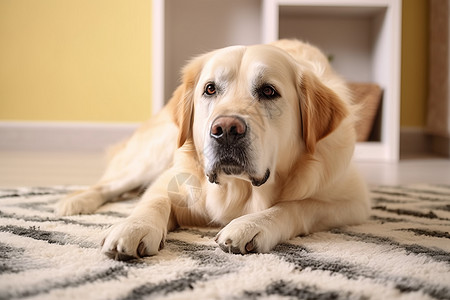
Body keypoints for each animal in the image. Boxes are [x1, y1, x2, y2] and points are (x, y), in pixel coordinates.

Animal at [55, 39, 370, 260]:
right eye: (210, 89)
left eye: (268, 91)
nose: (226, 129)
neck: (238, 190)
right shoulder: (171, 180)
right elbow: (153, 201)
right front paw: (134, 227)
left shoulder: (352, 202)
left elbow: (296, 206)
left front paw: (250, 226)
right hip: (156, 152)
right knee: (110, 184)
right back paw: (75, 201)